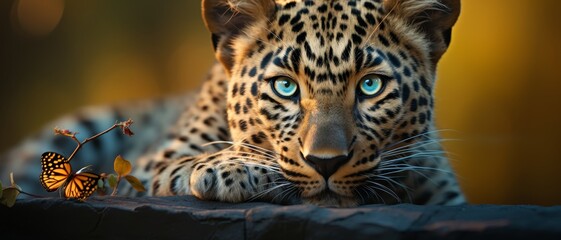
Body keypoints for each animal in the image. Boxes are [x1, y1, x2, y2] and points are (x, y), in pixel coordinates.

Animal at [0, 0, 464, 206]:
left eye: (370, 86)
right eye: (285, 88)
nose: (326, 162)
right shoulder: (148, 164)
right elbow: (185, 164)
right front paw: (233, 169)